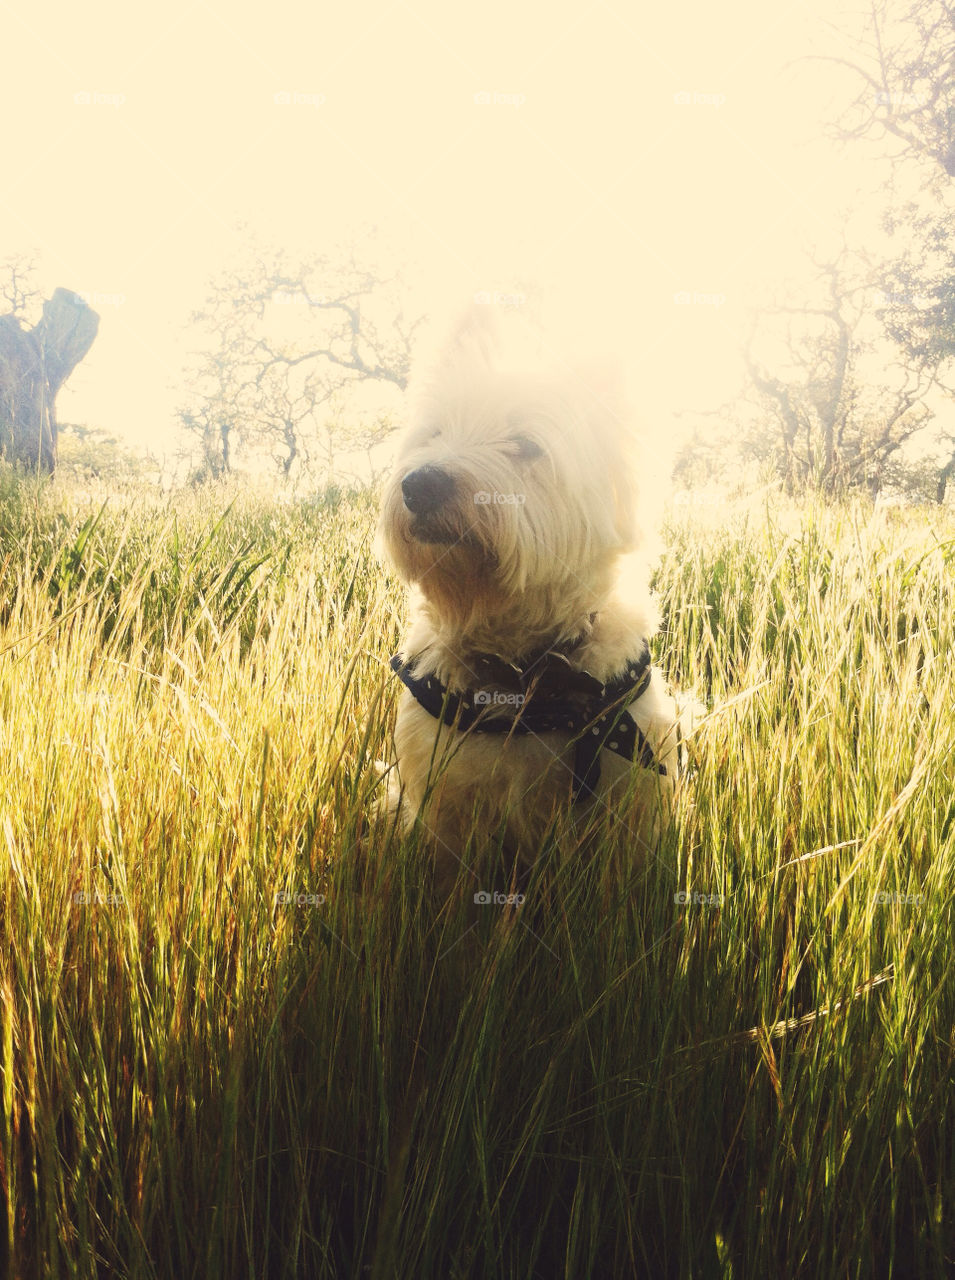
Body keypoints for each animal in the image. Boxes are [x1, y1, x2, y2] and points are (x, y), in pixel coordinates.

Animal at [373, 307, 686, 901]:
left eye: (524, 444)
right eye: (435, 433)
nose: (419, 485)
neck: (527, 673)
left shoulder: (627, 803)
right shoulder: (447, 805)